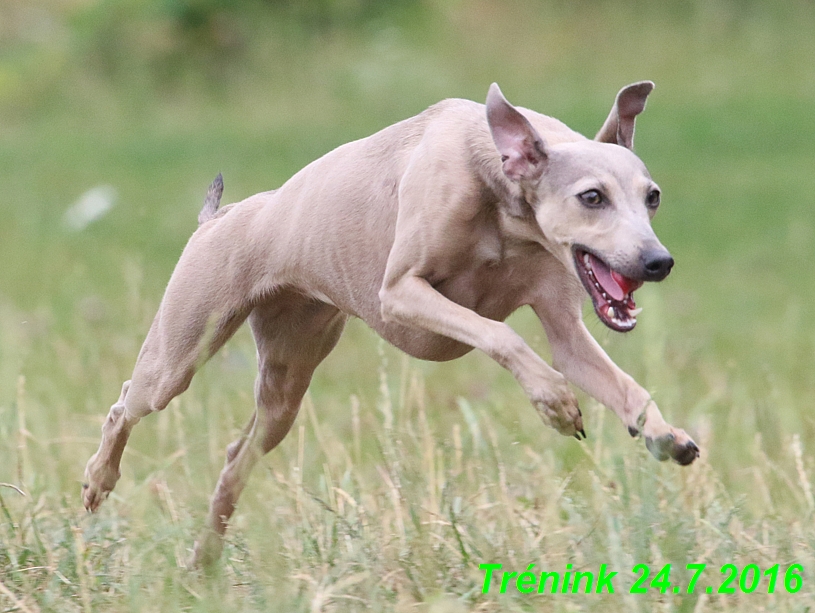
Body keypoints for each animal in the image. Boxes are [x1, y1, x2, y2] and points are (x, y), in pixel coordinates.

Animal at [84, 82, 700, 564]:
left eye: (653, 197)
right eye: (592, 197)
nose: (658, 262)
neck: (502, 201)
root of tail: (219, 217)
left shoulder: (567, 331)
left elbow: (625, 387)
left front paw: (664, 435)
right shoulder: (401, 293)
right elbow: (500, 333)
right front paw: (555, 401)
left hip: (285, 384)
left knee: (237, 459)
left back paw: (204, 561)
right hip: (180, 353)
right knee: (125, 404)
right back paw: (98, 481)